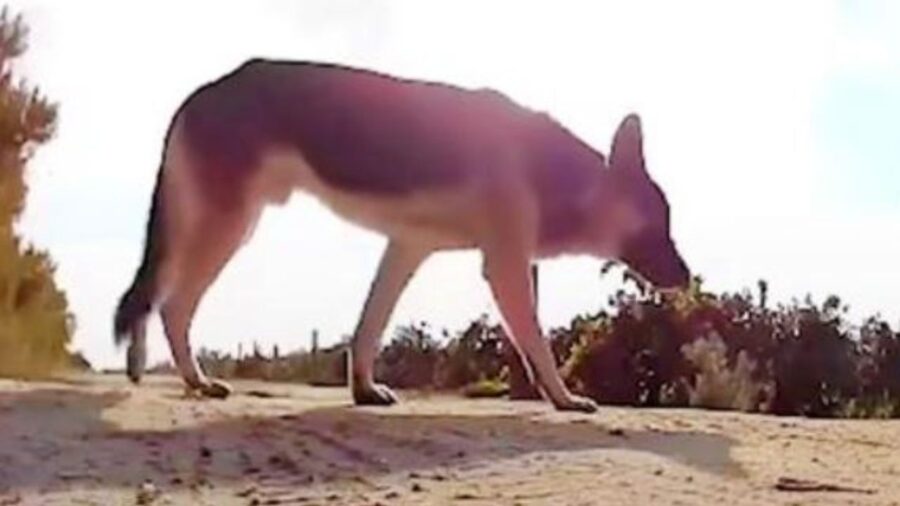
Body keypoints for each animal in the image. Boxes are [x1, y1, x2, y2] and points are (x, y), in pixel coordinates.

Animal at [114, 59, 688, 414]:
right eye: (660, 223)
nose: (687, 277)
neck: (556, 175)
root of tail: (205, 90)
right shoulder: (504, 267)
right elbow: (538, 345)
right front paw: (564, 398)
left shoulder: (407, 248)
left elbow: (370, 326)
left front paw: (364, 390)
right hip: (228, 225)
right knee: (170, 302)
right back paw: (188, 379)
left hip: (218, 224)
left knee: (154, 296)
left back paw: (152, 371)